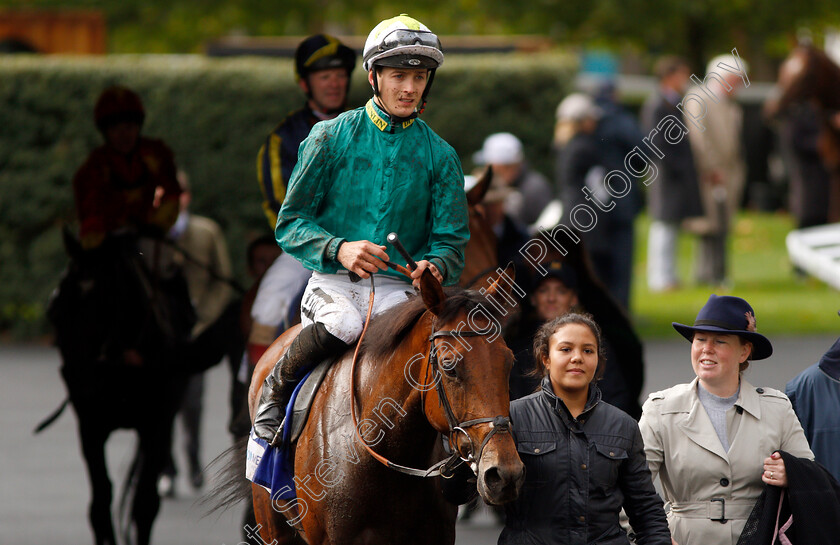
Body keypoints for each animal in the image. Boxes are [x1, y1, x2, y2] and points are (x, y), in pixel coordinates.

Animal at [47, 231, 195, 544]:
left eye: (102, 307)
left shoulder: (156, 426)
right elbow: (100, 503)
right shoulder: (90, 427)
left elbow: (144, 504)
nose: (81, 386)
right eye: (54, 313)